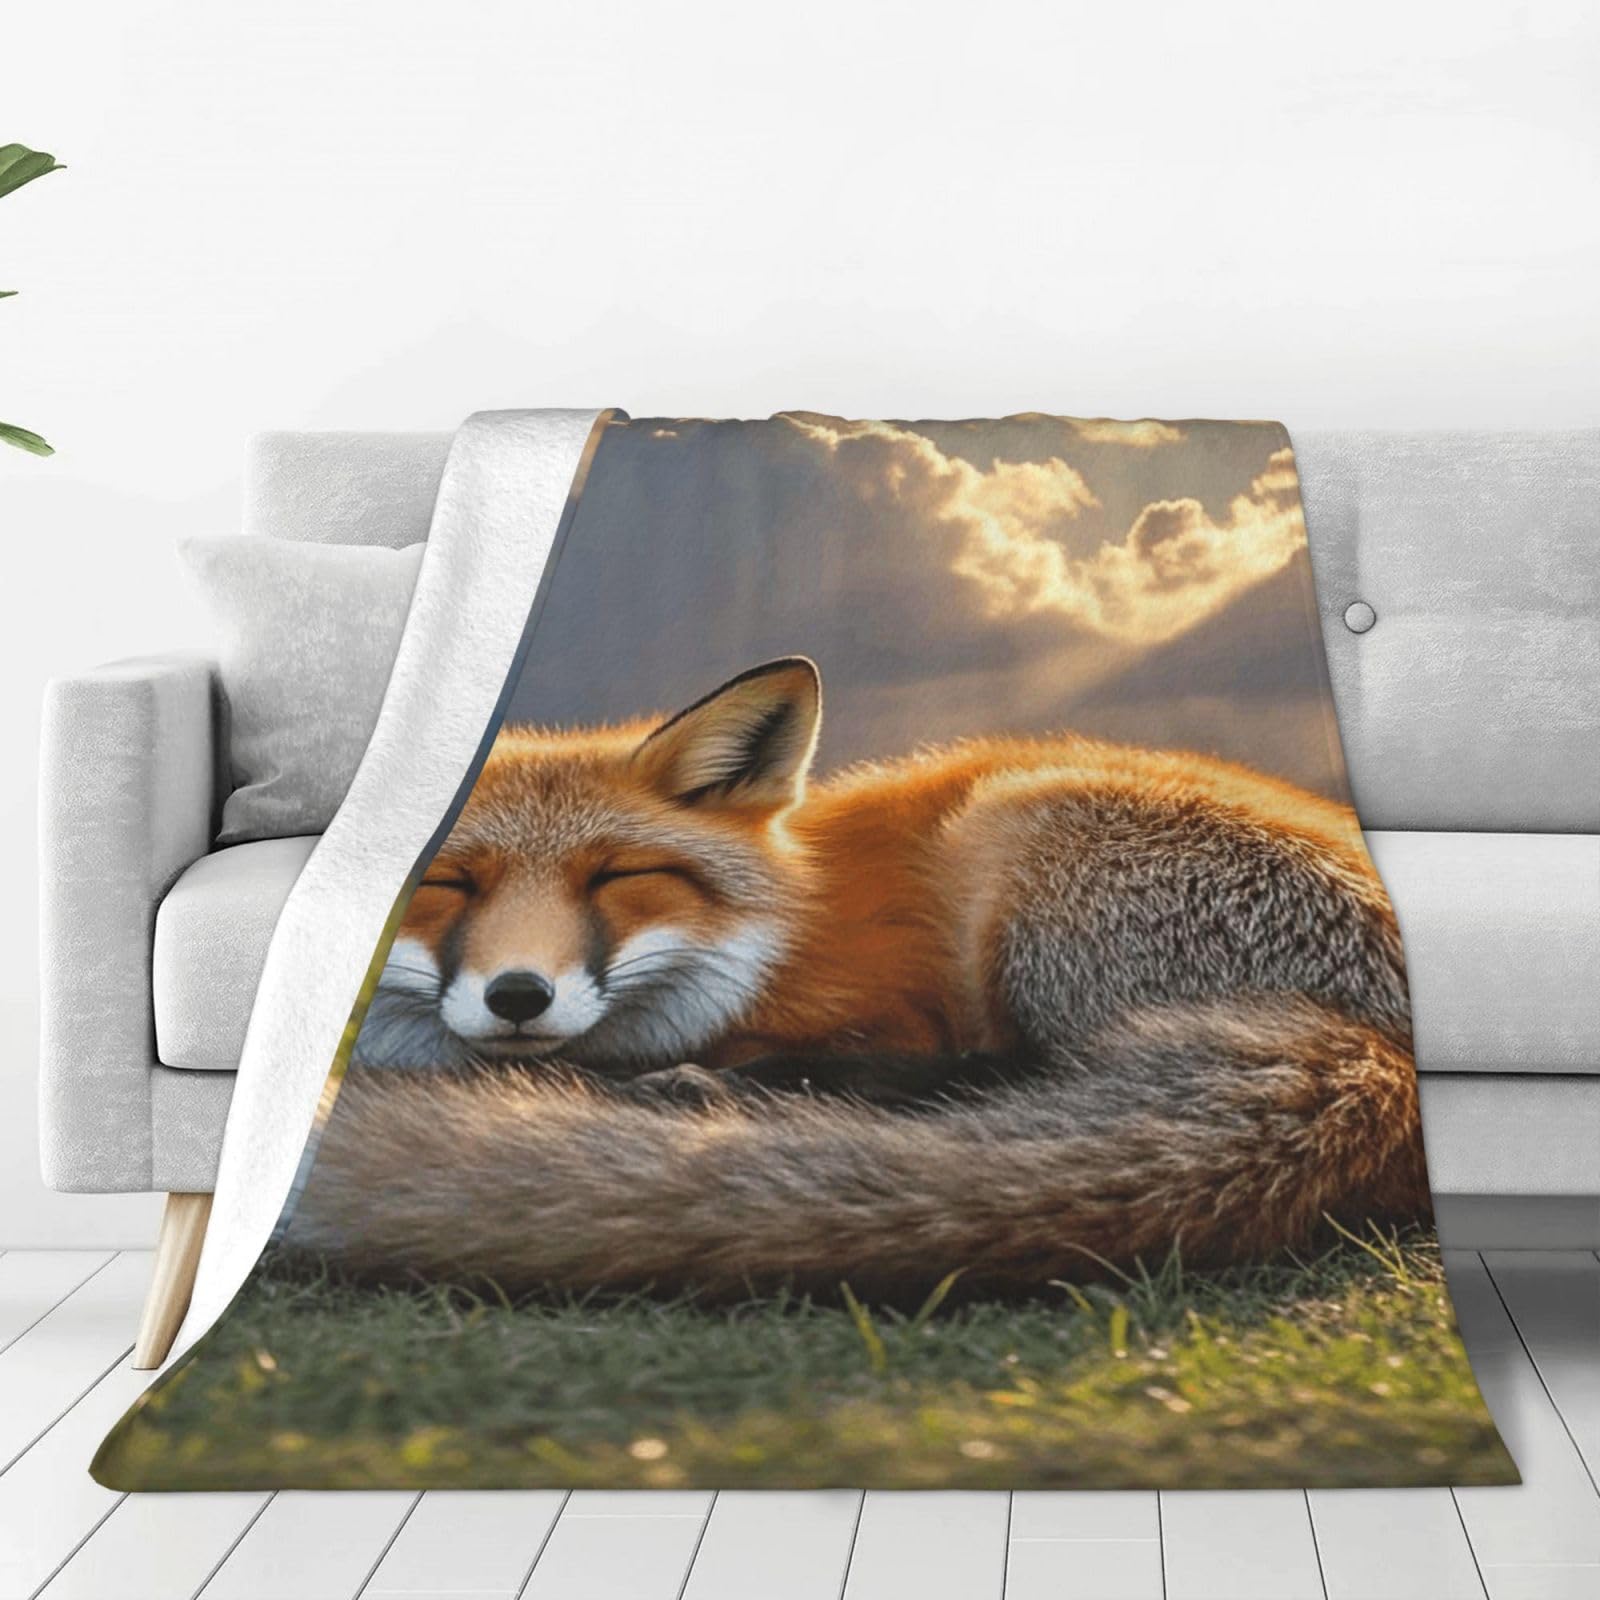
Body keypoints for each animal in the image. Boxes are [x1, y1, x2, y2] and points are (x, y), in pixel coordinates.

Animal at [297, 655, 1430, 1297]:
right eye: (447, 882)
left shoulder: (896, 1007)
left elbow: (904, 1055)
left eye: (619, 876)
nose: (518, 995)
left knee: (995, 1077)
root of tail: (1386, 1055)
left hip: (1008, 836)